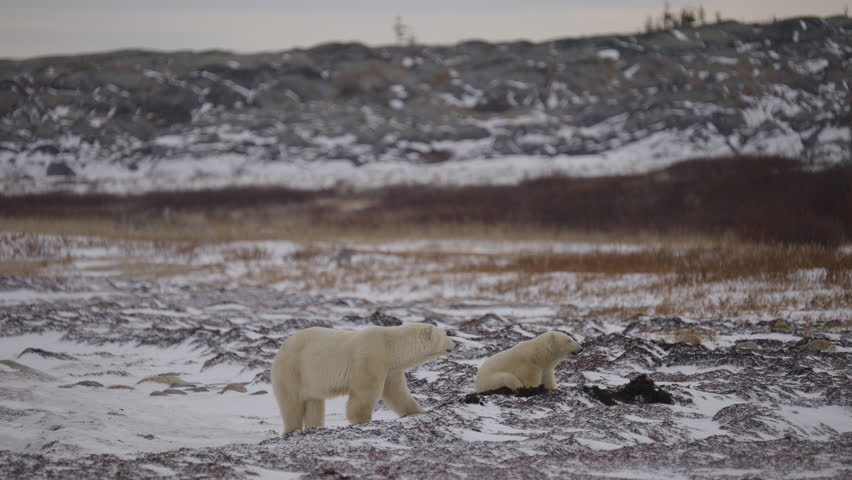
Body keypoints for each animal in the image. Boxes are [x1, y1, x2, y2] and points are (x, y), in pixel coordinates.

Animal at [271, 323, 456, 434]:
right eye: (446, 334)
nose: (455, 344)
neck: (390, 345)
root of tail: (282, 347)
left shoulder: (390, 368)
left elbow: (397, 393)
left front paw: (418, 411)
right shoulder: (371, 357)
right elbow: (365, 391)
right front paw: (361, 420)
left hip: (310, 379)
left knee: (314, 403)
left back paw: (315, 426)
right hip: (294, 369)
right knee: (292, 404)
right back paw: (291, 430)